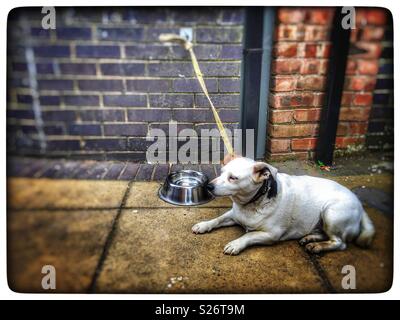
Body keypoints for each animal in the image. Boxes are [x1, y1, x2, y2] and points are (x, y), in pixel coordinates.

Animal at [192, 157, 374, 255]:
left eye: (233, 178)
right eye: (222, 172)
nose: (208, 186)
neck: (252, 203)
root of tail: (359, 204)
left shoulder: (271, 235)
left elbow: (248, 236)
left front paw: (236, 244)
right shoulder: (233, 215)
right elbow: (217, 219)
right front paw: (204, 225)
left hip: (331, 212)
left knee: (340, 243)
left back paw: (318, 246)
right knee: (324, 234)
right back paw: (310, 238)